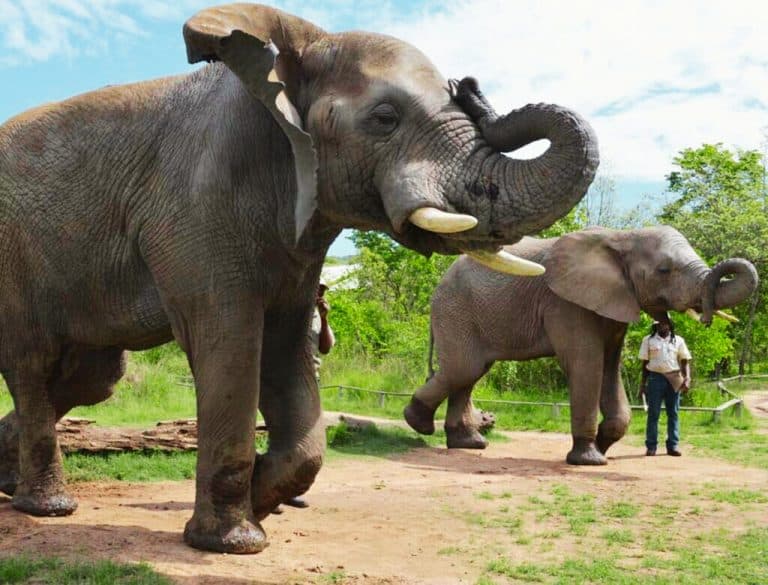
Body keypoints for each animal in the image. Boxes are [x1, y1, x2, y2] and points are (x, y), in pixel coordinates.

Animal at [0, 3, 600, 552]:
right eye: (385, 118)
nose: (470, 85)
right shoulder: (196, 209)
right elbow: (229, 342)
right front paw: (233, 542)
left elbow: (286, 350)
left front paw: (266, 498)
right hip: (14, 257)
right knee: (34, 362)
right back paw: (48, 508)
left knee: (91, 376)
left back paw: (10, 483)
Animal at [404, 226, 760, 464]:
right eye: (664, 270)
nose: (706, 315)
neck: (623, 237)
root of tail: (438, 288)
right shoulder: (566, 303)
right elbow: (586, 364)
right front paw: (590, 460)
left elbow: (609, 367)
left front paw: (602, 446)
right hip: (455, 310)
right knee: (465, 369)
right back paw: (419, 423)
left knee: (469, 373)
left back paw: (468, 444)